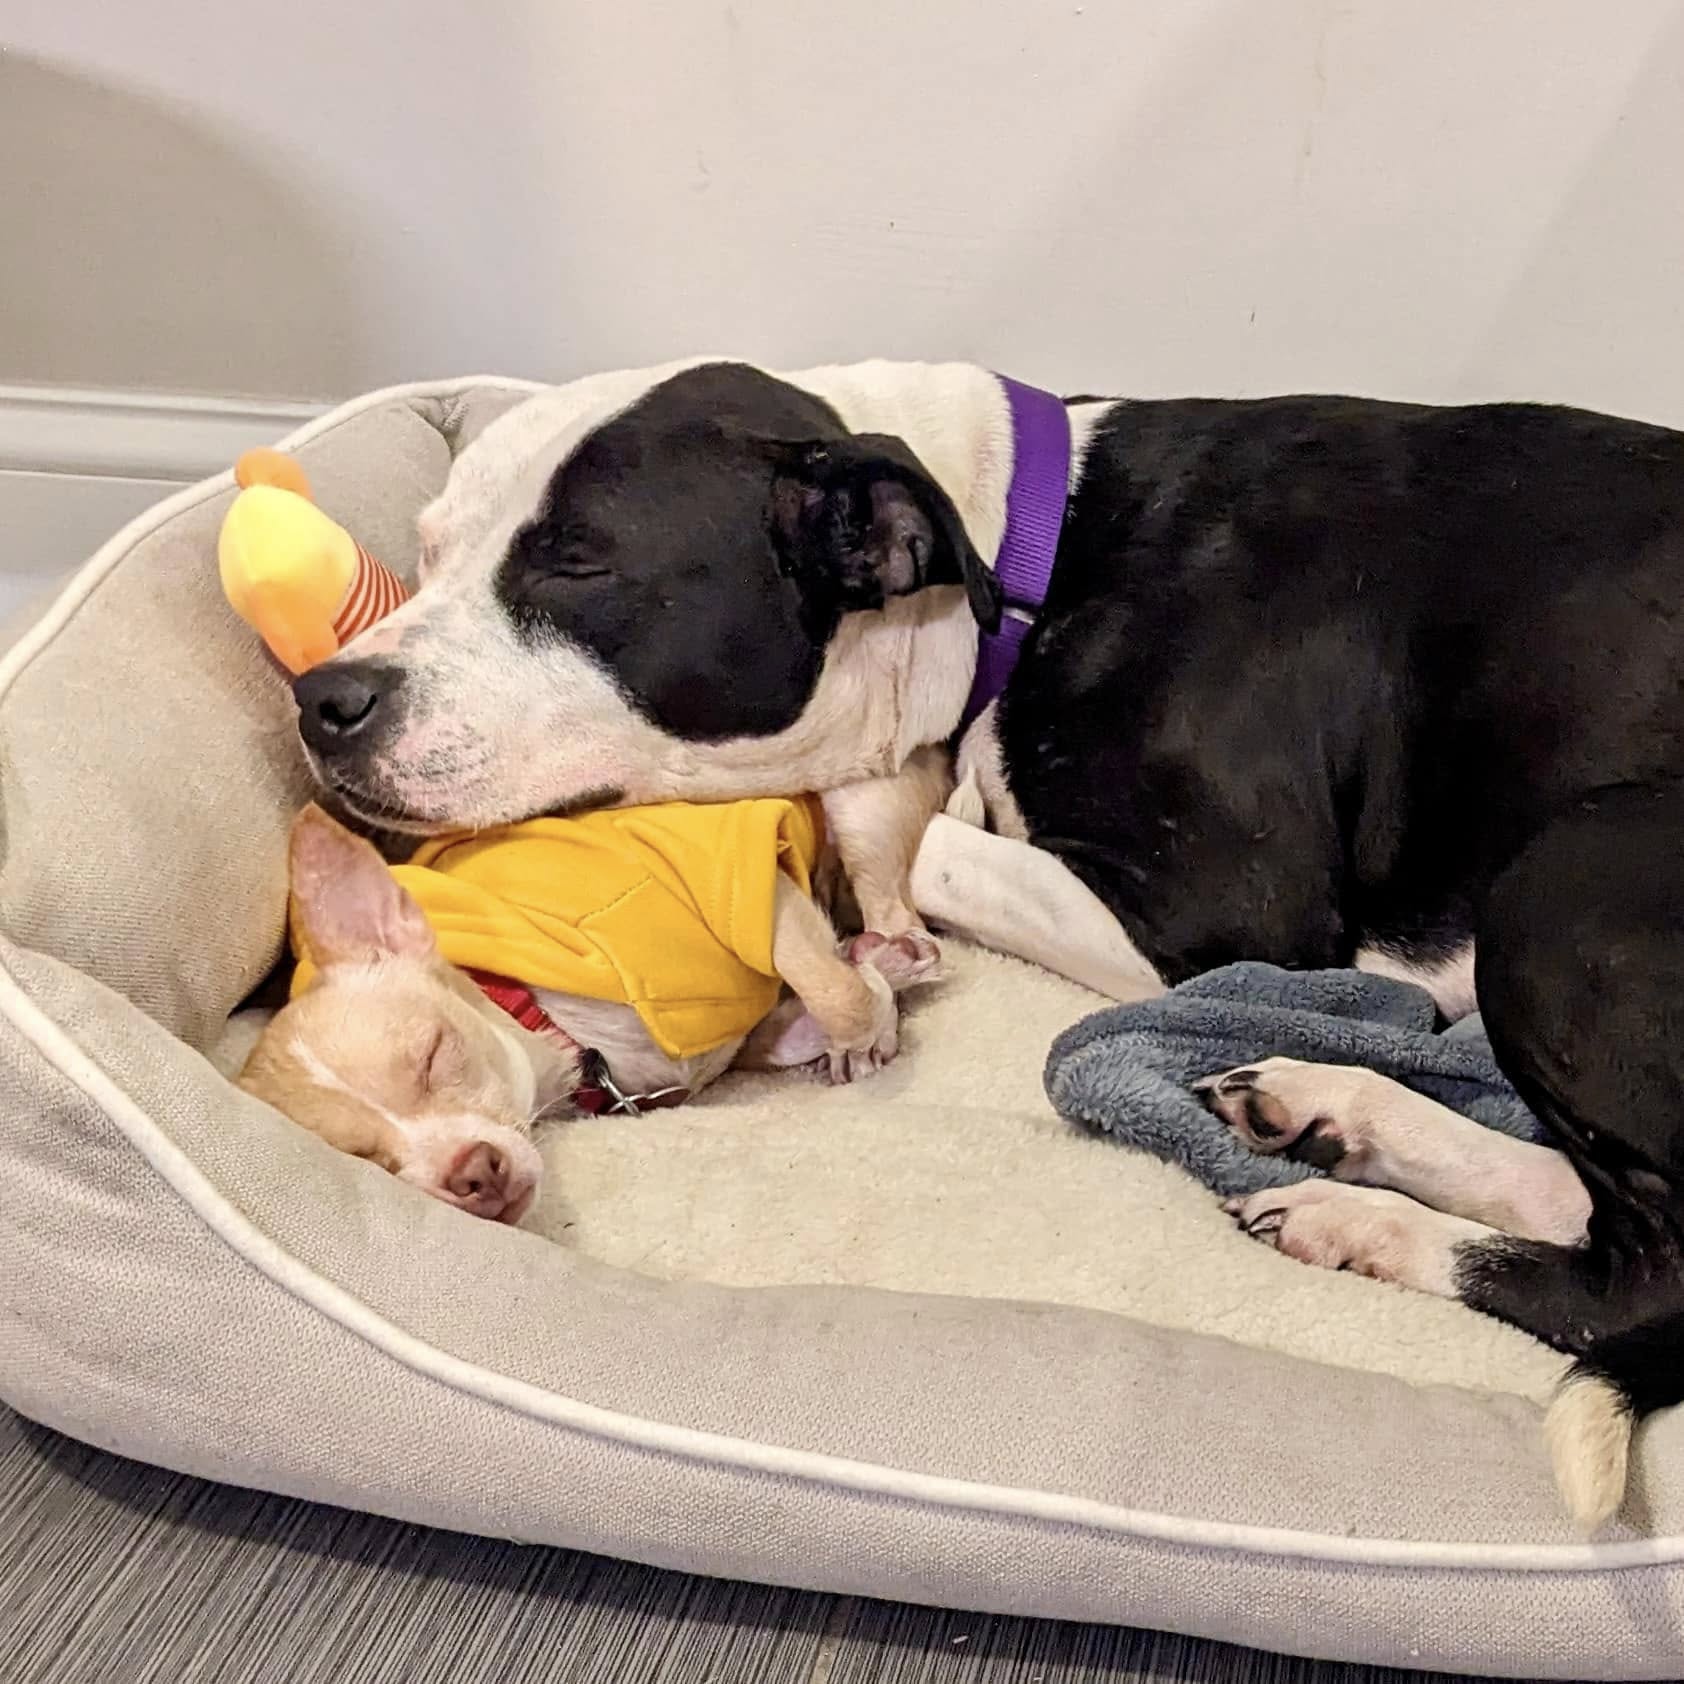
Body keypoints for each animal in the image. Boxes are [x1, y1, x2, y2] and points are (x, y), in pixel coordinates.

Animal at [296, 355, 1684, 1529]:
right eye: (428, 547)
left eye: (576, 565)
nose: (321, 699)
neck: (1029, 554)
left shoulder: (1235, 916)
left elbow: (929, 838)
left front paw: (907, 835)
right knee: (1579, 1195)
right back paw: (1341, 1123)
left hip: (1565, 879)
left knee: (1650, 1275)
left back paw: (1376, 1218)